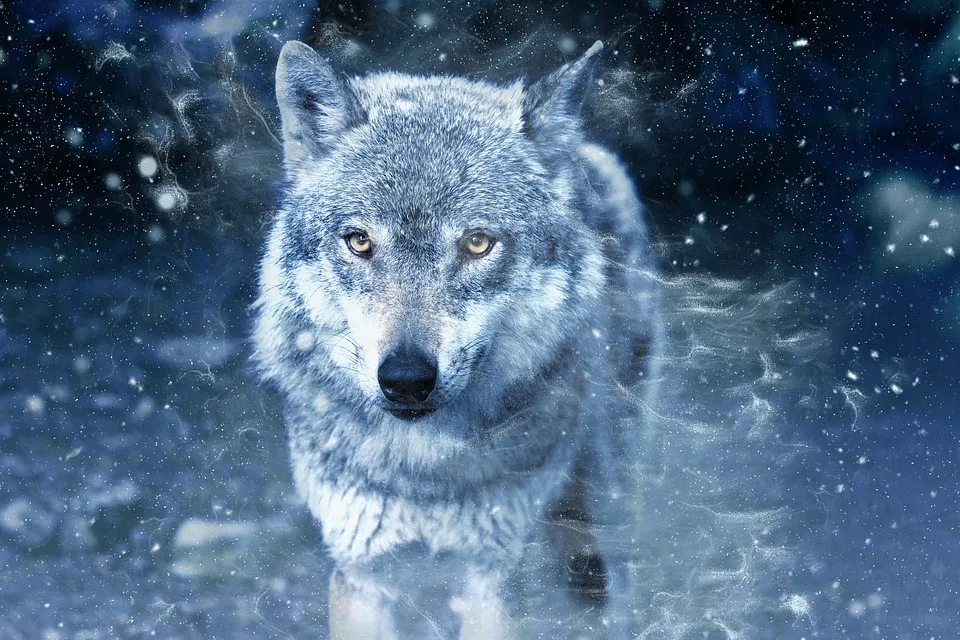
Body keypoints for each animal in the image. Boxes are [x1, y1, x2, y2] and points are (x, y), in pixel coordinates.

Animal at [253, 39, 664, 639]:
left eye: (477, 243)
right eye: (359, 241)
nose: (405, 379)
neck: (422, 472)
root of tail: (587, 153)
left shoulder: (492, 574)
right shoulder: (361, 569)